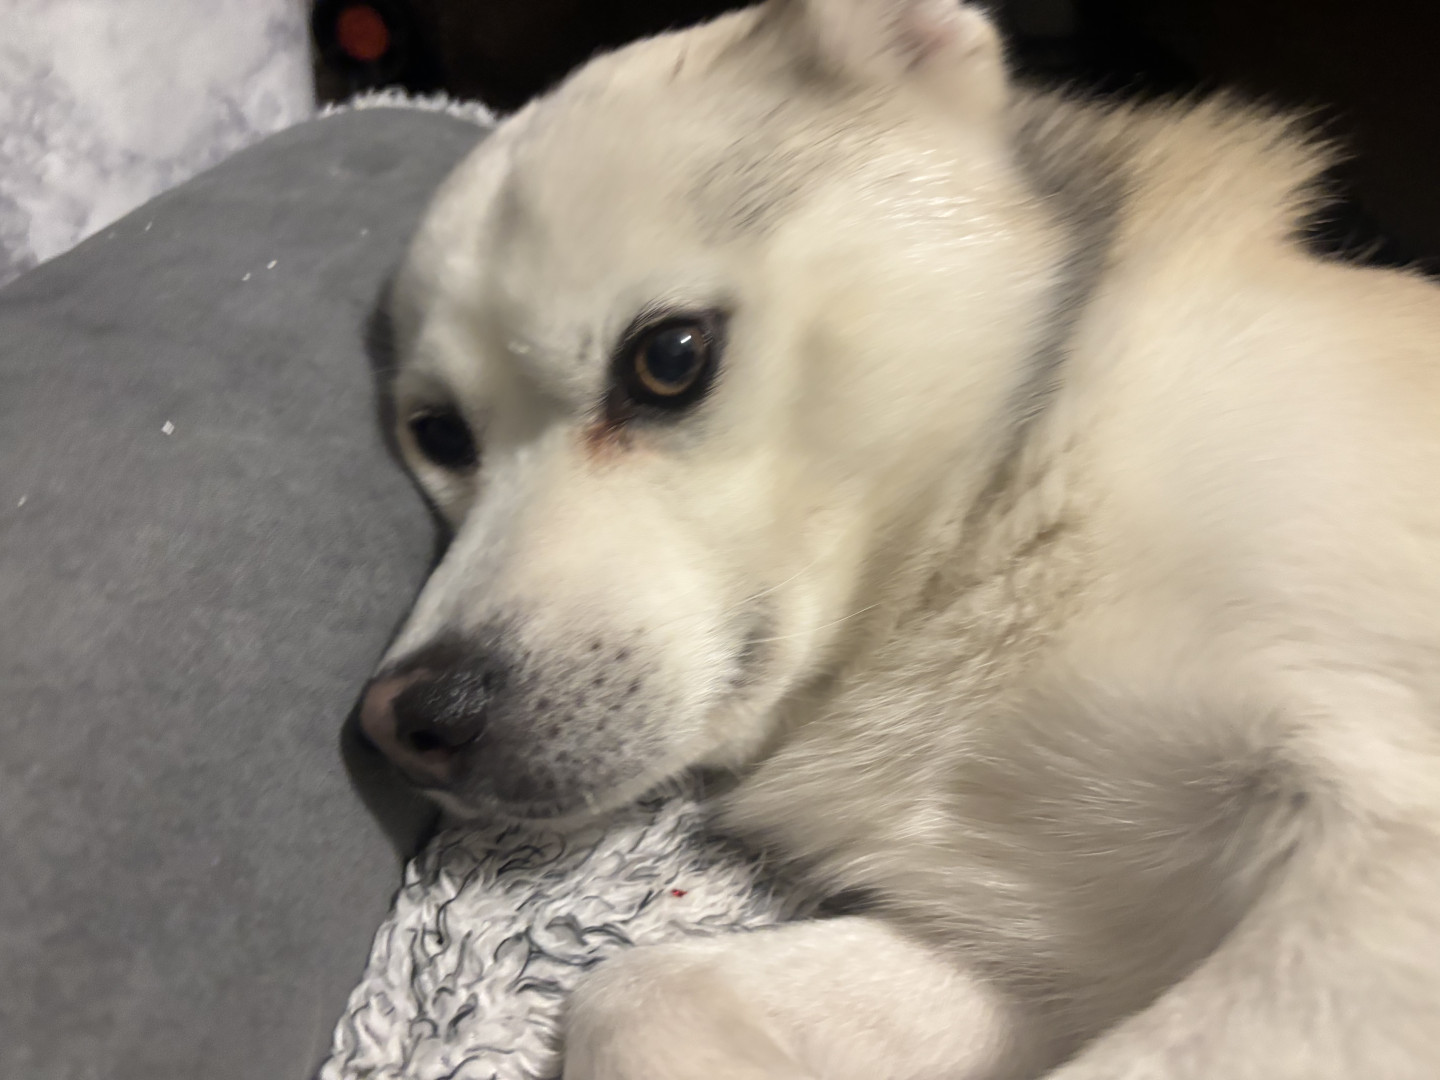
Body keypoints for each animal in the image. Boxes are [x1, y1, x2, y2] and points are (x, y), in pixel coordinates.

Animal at [357, 1, 1440, 1076]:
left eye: (669, 358)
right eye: (439, 434)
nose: (412, 719)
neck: (999, 523)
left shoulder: (1384, 865)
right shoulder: (1051, 960)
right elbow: (639, 990)